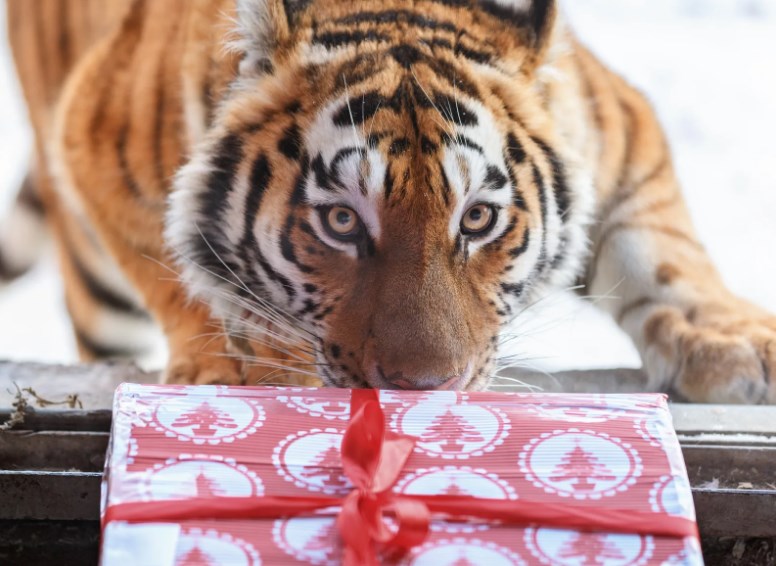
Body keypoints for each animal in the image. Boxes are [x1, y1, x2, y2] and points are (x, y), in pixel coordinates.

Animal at [3, 0, 775, 403]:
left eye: (478, 218)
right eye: (341, 221)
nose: (423, 387)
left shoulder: (617, 123)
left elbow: (661, 248)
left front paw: (737, 345)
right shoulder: (89, 135)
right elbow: (179, 272)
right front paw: (237, 364)